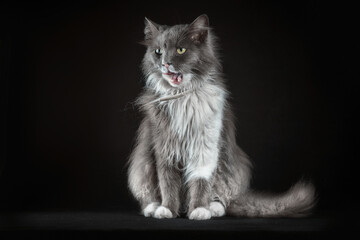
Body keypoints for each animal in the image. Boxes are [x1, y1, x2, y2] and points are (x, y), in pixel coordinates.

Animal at [127, 14, 316, 219]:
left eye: (180, 50)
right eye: (158, 51)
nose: (165, 63)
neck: (183, 97)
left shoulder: (206, 147)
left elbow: (201, 182)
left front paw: (199, 209)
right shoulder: (165, 149)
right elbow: (167, 183)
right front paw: (167, 209)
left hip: (231, 167)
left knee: (222, 196)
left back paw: (213, 208)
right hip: (142, 166)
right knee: (149, 193)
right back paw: (153, 208)